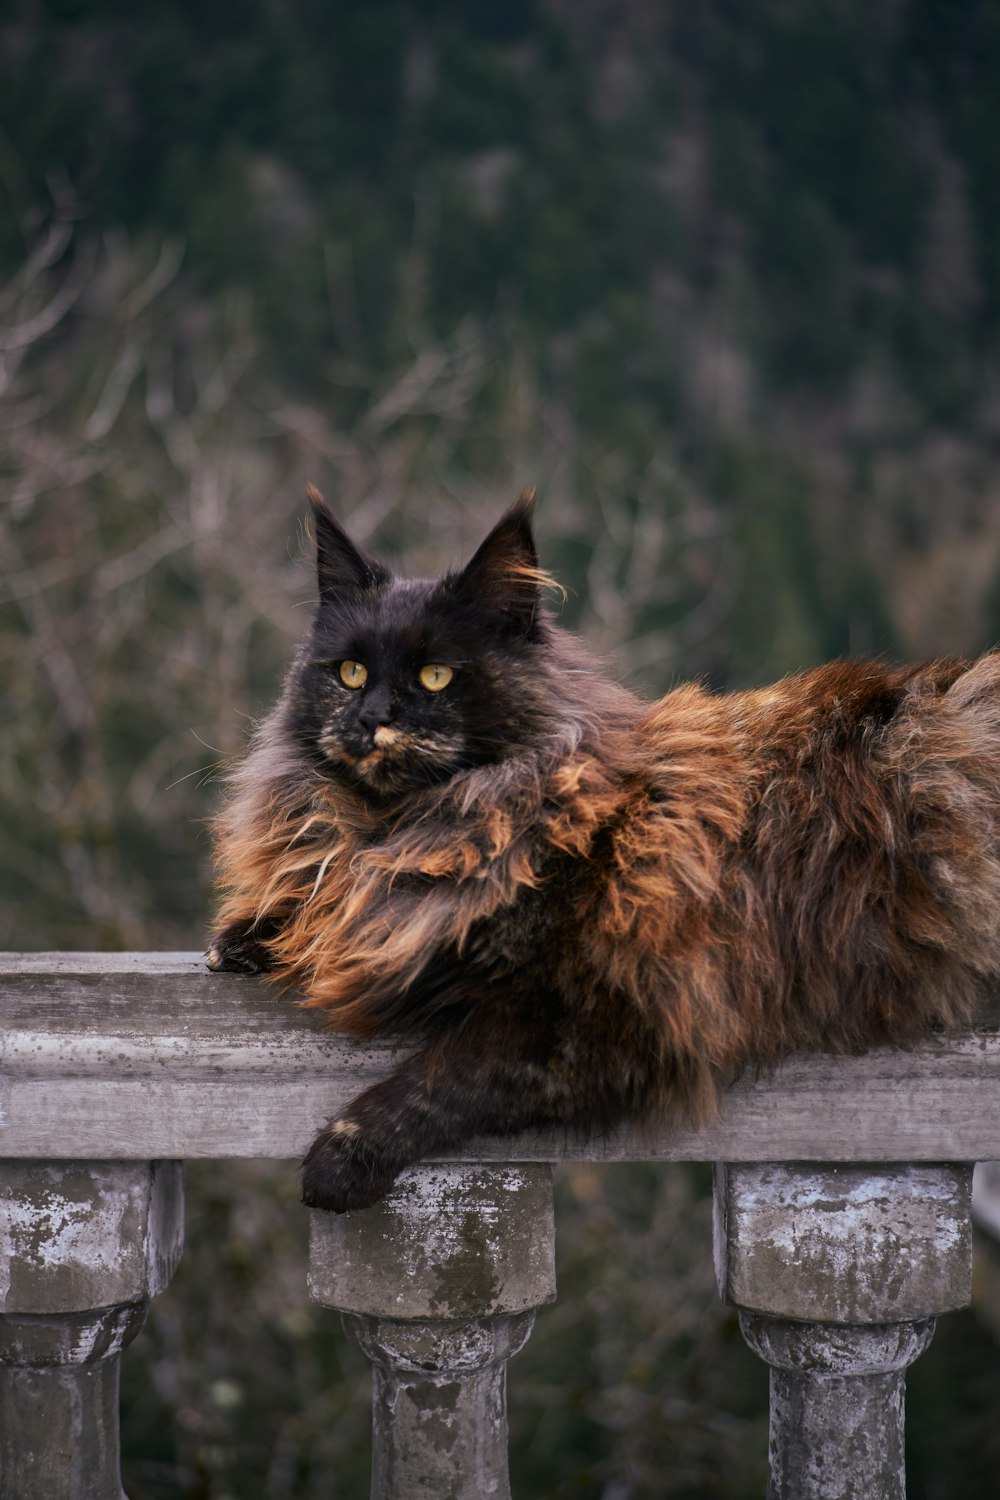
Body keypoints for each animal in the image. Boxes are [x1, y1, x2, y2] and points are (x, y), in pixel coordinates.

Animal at [206, 486, 1000, 1212]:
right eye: (349, 673)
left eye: (436, 676)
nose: (371, 718)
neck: (406, 832)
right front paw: (247, 938)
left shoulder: (599, 1020)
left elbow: (436, 1082)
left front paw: (338, 1162)